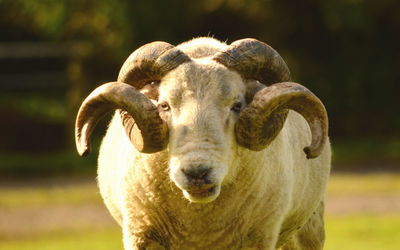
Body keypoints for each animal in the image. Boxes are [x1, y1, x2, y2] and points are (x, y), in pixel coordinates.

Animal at [75, 37, 332, 250]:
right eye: (164, 105)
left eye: (237, 105)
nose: (197, 172)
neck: (199, 227)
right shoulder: (141, 235)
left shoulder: (259, 238)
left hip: (309, 231)